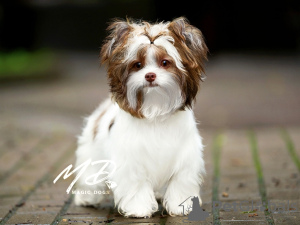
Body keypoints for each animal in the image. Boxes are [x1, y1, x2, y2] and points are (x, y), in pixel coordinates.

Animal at [74, 16, 207, 217]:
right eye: (137, 65)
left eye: (165, 63)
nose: (150, 75)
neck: (155, 110)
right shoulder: (130, 161)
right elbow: (135, 184)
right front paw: (138, 209)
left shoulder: (185, 159)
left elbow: (180, 181)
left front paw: (180, 206)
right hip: (91, 154)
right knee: (90, 176)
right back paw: (85, 198)